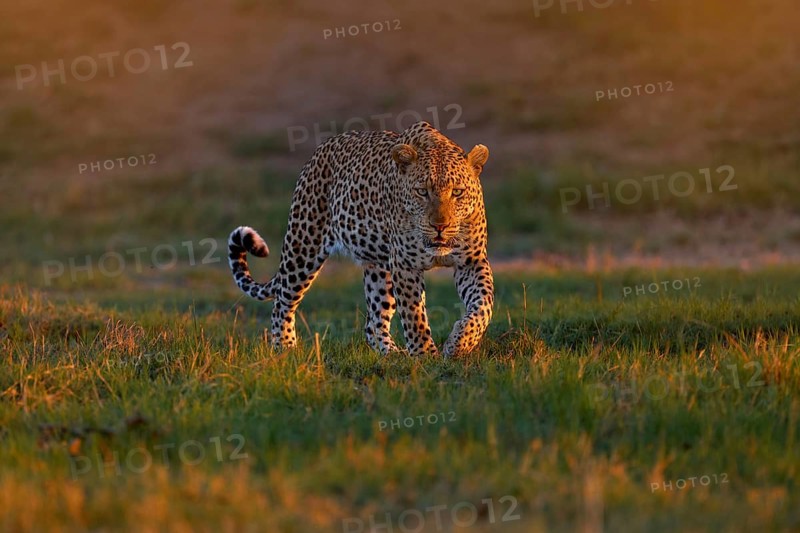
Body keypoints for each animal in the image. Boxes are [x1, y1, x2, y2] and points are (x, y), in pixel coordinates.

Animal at [227, 120, 493, 357]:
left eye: (457, 192)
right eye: (422, 192)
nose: (440, 226)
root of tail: (322, 147)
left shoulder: (472, 262)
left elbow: (484, 304)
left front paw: (460, 343)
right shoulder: (405, 266)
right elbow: (414, 315)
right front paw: (425, 354)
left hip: (380, 269)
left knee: (373, 321)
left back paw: (392, 354)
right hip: (304, 246)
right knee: (282, 301)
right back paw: (285, 347)